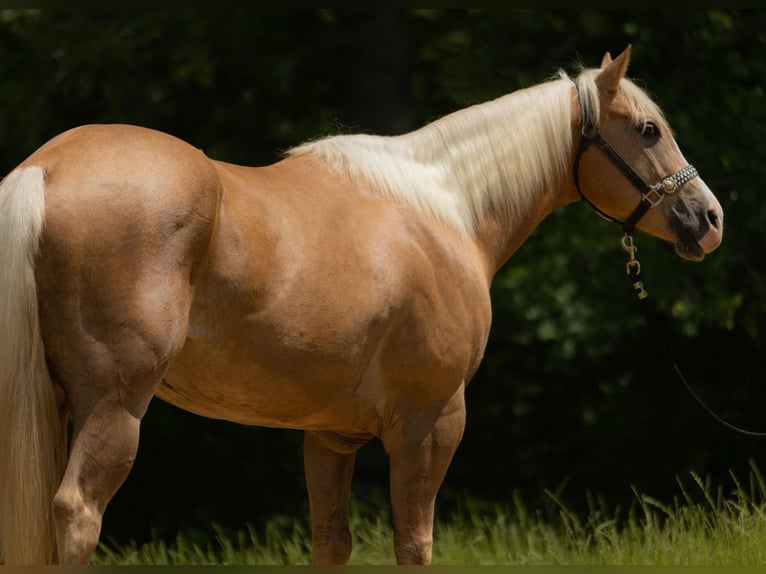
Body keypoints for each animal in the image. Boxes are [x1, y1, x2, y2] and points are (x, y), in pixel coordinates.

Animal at [0, 46, 724, 568]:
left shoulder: (329, 435)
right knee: (76, 514)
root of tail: (46, 169)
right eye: (649, 129)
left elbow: (332, 542)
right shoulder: (431, 422)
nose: (710, 218)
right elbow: (415, 544)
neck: (445, 208)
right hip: (115, 407)